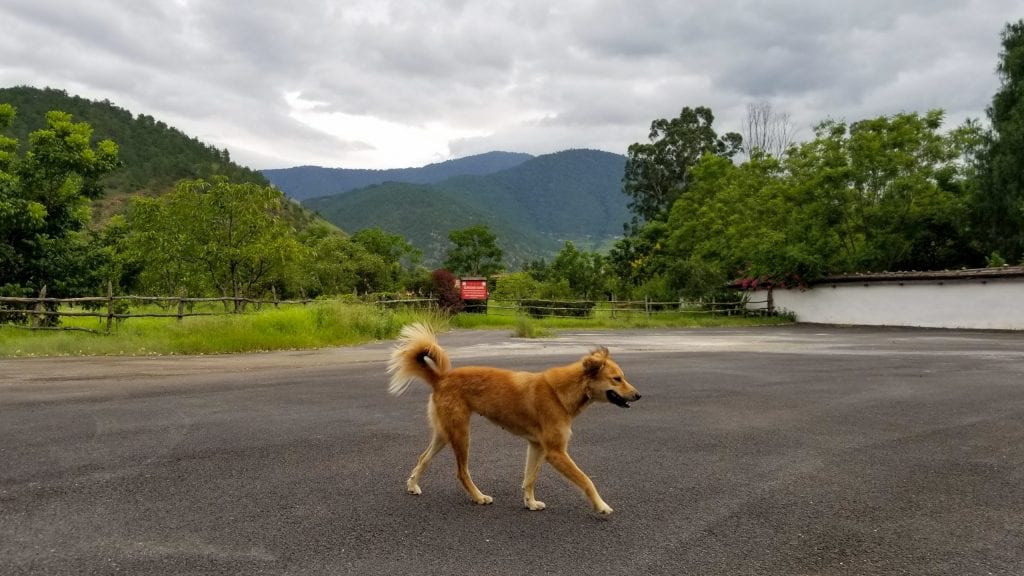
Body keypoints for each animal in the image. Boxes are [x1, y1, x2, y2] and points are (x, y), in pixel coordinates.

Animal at [385, 319, 638, 512]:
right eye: (617, 378)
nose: (638, 395)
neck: (560, 392)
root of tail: (441, 378)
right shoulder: (556, 452)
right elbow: (586, 480)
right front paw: (601, 506)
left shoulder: (537, 447)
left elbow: (530, 478)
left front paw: (530, 503)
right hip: (461, 434)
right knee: (461, 472)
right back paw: (478, 497)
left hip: (444, 433)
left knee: (423, 458)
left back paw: (413, 485)